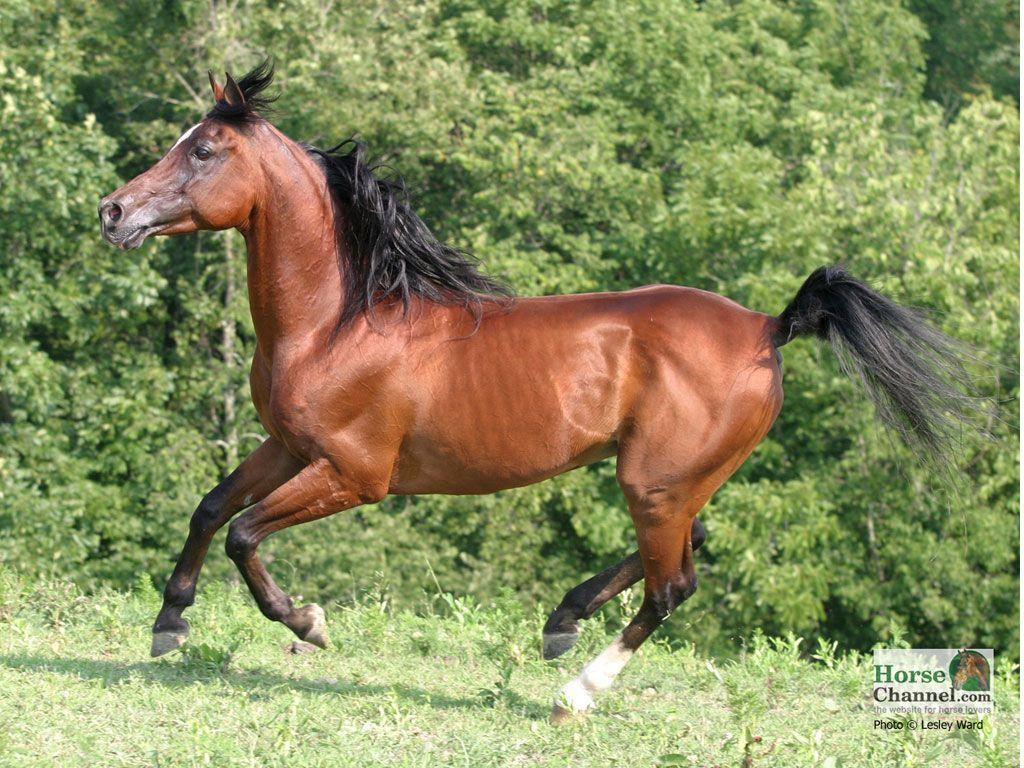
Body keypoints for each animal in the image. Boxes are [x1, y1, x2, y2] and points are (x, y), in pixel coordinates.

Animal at [98, 62, 976, 722]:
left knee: (673, 584)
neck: (338, 324)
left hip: (653, 481)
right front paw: (169, 624)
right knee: (682, 552)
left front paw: (306, 623)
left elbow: (245, 534)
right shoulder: (287, 446)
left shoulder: (353, 474)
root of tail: (769, 327)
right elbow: (211, 508)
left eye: (205, 150)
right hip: (673, 480)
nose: (112, 212)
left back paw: (573, 692)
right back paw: (563, 621)